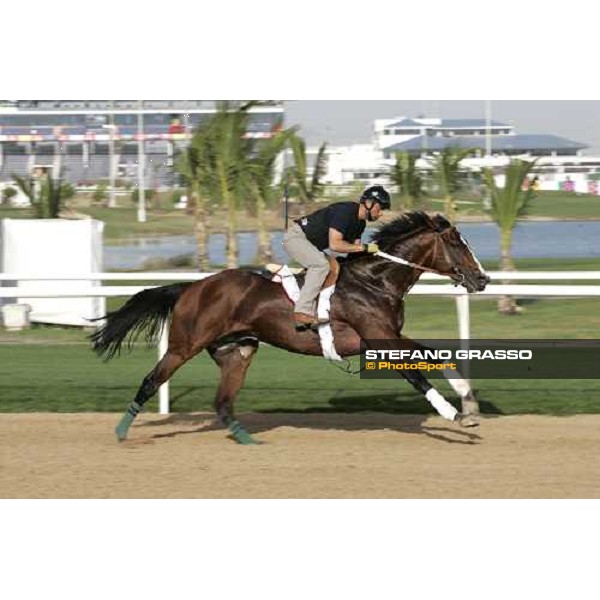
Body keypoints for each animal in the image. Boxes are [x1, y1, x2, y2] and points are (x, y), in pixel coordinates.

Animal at [91, 213, 490, 442]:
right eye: (456, 243)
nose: (482, 279)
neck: (376, 280)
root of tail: (191, 286)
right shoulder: (379, 339)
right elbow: (418, 374)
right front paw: (456, 415)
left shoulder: (389, 336)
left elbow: (433, 353)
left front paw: (468, 400)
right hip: (183, 344)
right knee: (151, 380)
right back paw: (121, 431)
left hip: (237, 350)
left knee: (223, 402)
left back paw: (247, 439)